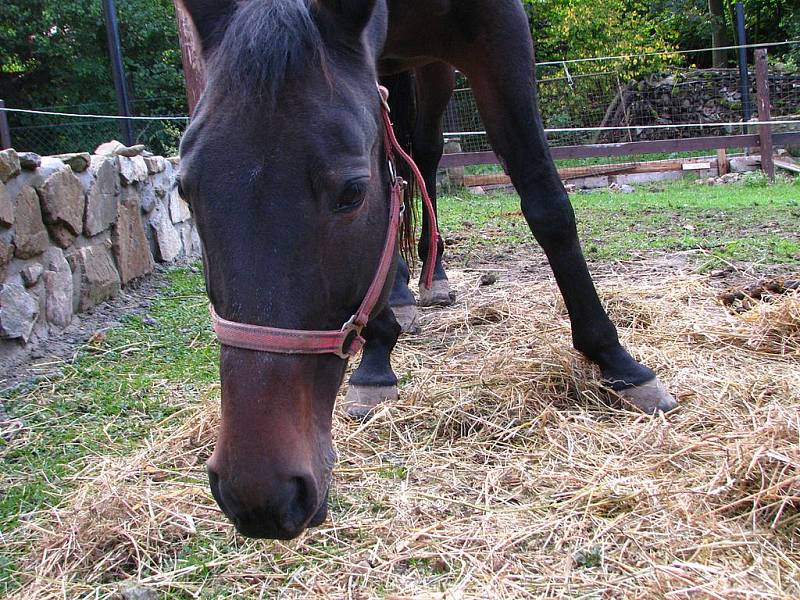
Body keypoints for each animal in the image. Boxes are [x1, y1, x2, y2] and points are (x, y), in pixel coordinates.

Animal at [175, 0, 676, 540]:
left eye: (352, 192)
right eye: (184, 190)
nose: (258, 492)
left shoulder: (499, 33)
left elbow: (546, 200)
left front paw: (617, 361)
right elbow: (390, 178)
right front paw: (376, 361)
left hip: (433, 68)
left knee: (426, 150)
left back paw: (433, 278)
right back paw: (400, 297)